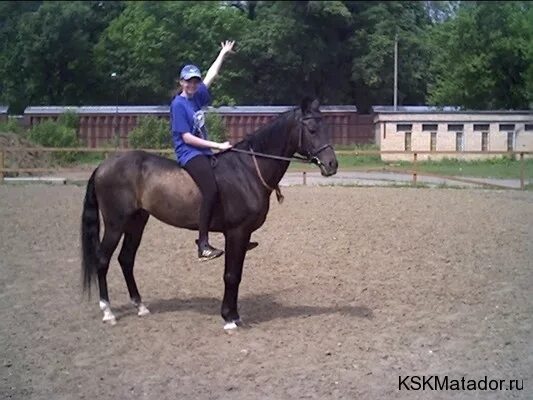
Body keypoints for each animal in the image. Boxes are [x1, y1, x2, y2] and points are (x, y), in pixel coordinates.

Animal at [80, 98, 336, 330]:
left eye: (327, 127)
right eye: (312, 130)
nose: (332, 164)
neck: (248, 170)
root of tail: (103, 166)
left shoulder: (240, 235)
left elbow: (236, 274)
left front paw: (234, 315)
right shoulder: (236, 232)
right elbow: (231, 275)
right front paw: (229, 319)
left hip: (137, 221)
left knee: (126, 259)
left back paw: (140, 306)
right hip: (115, 224)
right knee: (102, 260)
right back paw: (108, 312)